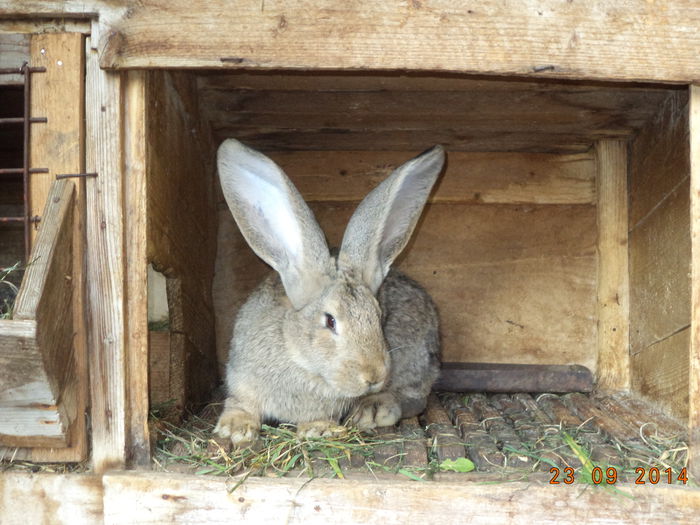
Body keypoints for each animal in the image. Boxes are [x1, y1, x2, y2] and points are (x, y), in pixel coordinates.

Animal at [213, 137, 446, 444]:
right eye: (330, 321)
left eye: (380, 317)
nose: (374, 375)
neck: (300, 360)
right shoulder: (241, 378)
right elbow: (240, 403)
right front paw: (234, 428)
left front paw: (319, 428)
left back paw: (373, 410)